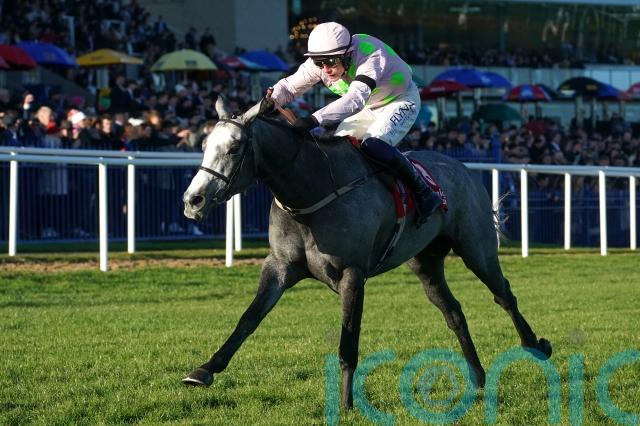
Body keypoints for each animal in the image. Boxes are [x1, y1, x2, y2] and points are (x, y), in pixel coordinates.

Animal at [181, 97, 552, 408]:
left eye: (234, 147)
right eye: (204, 146)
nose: (193, 200)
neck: (311, 191)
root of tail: (462, 169)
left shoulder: (352, 273)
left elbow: (348, 340)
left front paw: (346, 403)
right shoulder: (280, 267)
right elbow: (248, 319)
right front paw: (204, 370)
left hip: (476, 248)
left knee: (504, 295)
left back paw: (536, 346)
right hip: (426, 263)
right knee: (454, 312)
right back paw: (478, 377)